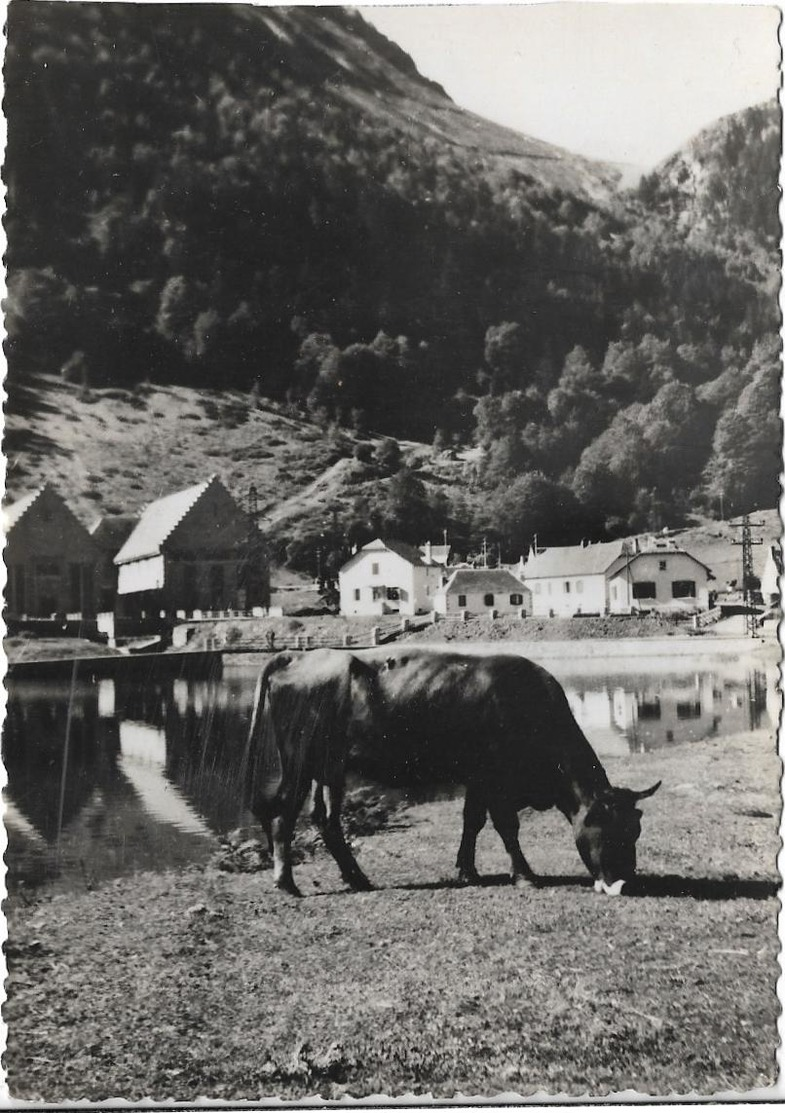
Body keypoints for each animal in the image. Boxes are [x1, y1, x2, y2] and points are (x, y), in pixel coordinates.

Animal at [246, 649, 659, 894]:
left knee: (326, 820)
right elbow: (506, 827)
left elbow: (471, 821)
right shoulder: (496, 779)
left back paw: (358, 878)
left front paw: (467, 870)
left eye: (635, 830)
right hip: (299, 762)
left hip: (329, 768)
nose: (625, 884)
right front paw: (524, 875)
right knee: (284, 813)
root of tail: (296, 658)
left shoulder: (477, 778)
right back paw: (286, 882)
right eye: (609, 830)